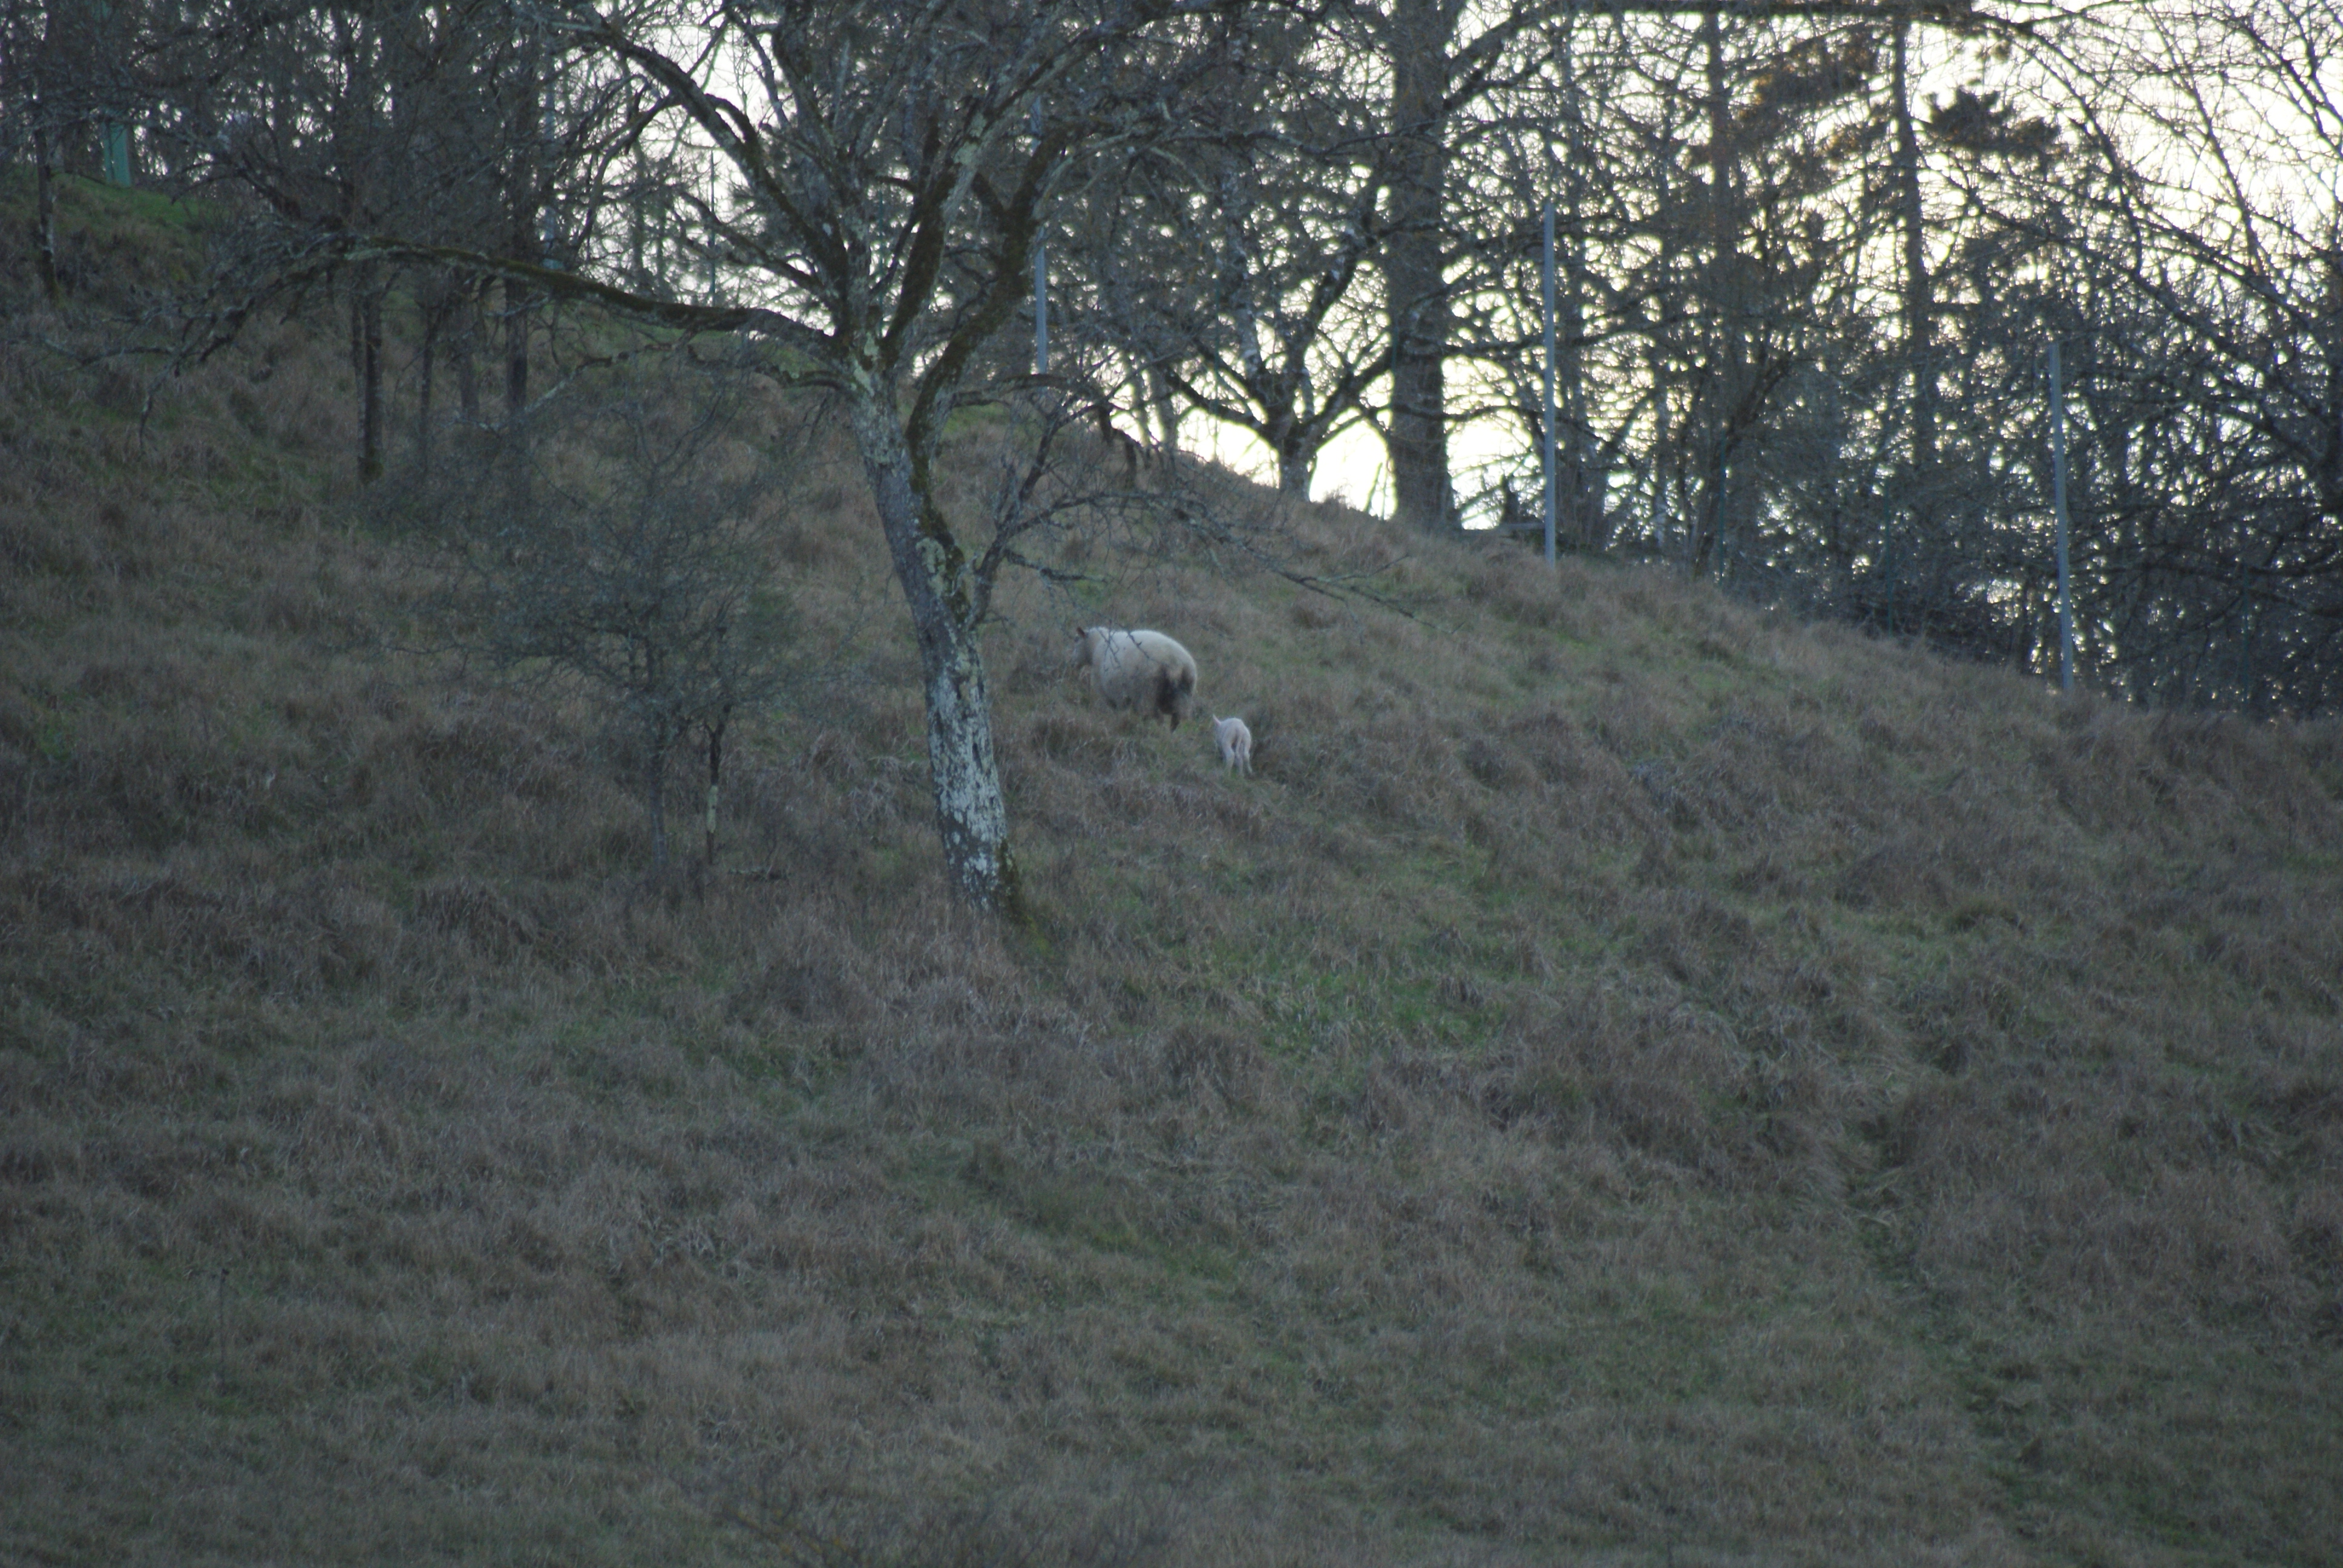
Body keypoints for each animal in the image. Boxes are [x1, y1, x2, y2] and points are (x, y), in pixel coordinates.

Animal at [1073, 623, 1199, 727]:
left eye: (1077, 640)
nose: (1072, 663)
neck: (1097, 645)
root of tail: (1175, 663)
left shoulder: (1112, 696)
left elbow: (1117, 712)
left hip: (1148, 692)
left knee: (1155, 718)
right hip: (1184, 693)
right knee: (1179, 719)